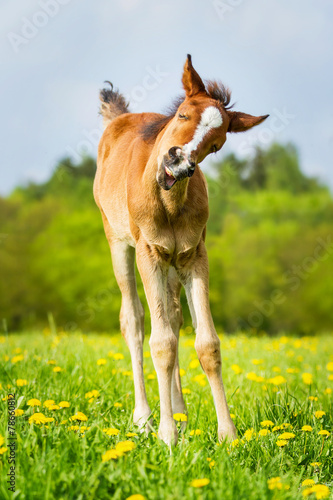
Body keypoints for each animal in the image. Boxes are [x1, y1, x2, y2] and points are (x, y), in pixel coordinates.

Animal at [93, 54, 268, 446]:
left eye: (217, 143)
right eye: (183, 115)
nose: (177, 162)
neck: (170, 203)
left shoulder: (193, 256)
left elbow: (206, 344)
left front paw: (227, 435)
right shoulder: (149, 254)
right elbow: (161, 343)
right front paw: (166, 435)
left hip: (172, 266)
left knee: (173, 317)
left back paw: (181, 414)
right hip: (118, 244)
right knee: (134, 320)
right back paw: (144, 417)